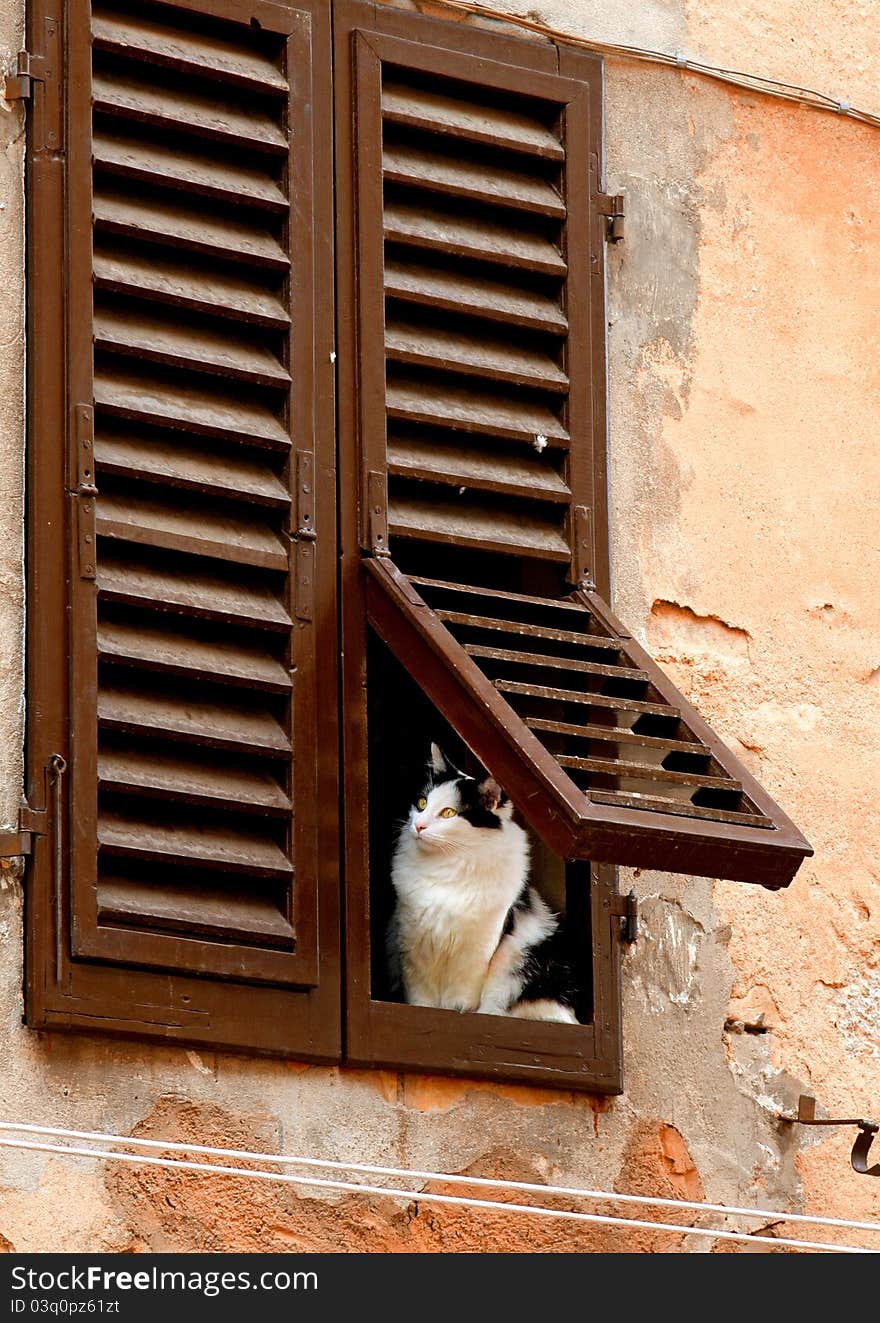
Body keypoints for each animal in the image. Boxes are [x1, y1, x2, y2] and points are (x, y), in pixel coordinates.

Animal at [383, 746, 576, 1021]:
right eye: (421, 804)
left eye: (448, 813)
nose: (418, 826)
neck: (445, 867)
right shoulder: (411, 946)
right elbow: (421, 997)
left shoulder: (478, 948)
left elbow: (461, 995)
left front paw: (458, 1011)